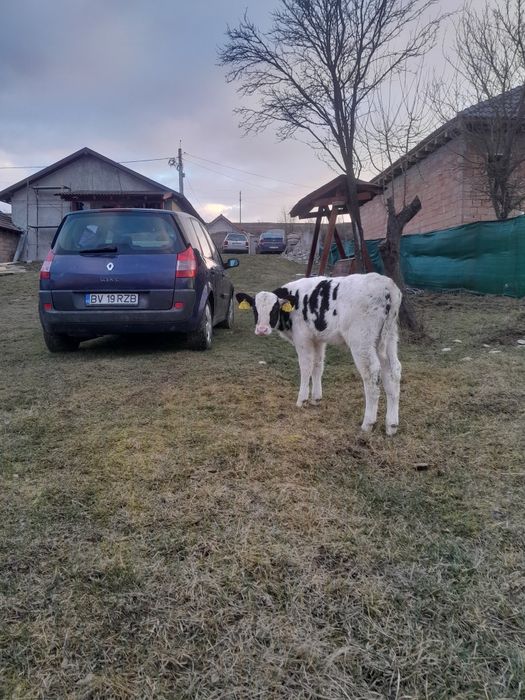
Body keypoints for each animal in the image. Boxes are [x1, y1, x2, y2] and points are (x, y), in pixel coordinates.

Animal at [236, 273, 402, 436]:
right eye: (255, 309)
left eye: (275, 308)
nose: (262, 330)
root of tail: (386, 283)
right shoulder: (318, 339)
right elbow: (318, 366)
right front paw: (316, 398)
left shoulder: (302, 339)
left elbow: (306, 367)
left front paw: (302, 400)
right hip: (388, 339)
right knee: (393, 372)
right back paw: (391, 425)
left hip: (361, 341)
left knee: (371, 375)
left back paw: (368, 423)